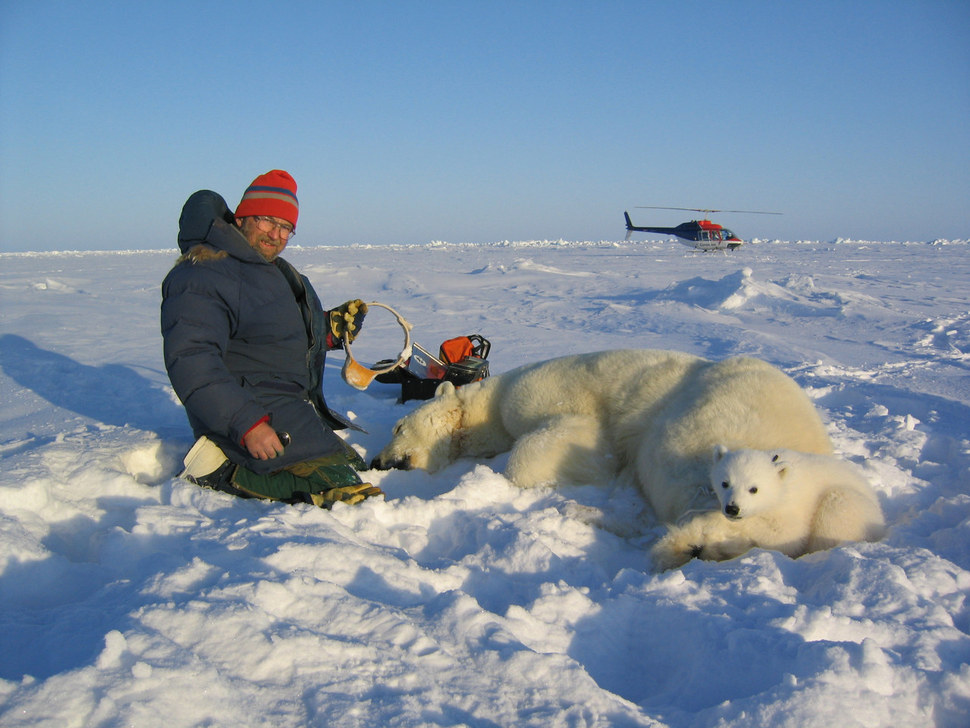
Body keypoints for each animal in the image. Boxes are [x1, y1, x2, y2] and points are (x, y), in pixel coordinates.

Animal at [370, 348, 884, 568]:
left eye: (397, 428)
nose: (376, 462)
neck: (491, 404)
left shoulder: (545, 395)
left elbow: (568, 440)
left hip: (703, 419)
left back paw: (680, 542)